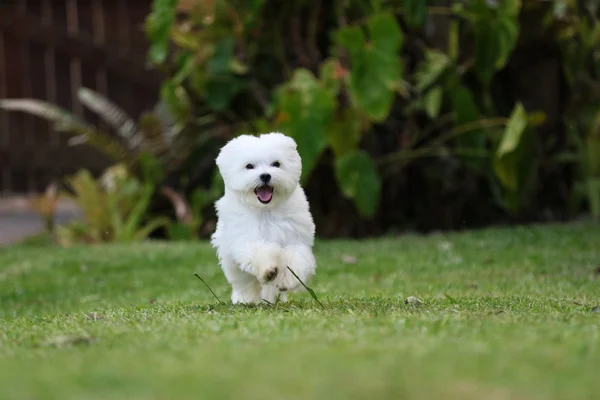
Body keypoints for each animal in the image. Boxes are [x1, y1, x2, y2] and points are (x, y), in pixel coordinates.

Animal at [210, 131, 316, 304]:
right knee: (245, 282)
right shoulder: (244, 237)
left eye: (276, 164)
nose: (265, 175)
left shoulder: (295, 236)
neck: (265, 209)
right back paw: (246, 299)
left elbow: (294, 257)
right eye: (249, 166)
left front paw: (286, 279)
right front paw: (269, 269)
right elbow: (258, 251)